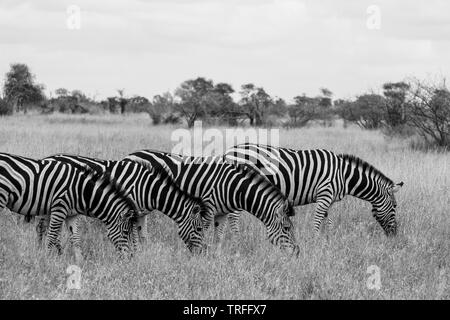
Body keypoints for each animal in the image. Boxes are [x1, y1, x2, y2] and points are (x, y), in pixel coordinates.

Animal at [0, 151, 139, 262]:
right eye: (126, 232)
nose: (130, 258)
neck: (82, 191)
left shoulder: (71, 215)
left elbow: (75, 238)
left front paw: (80, 262)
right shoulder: (59, 208)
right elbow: (52, 236)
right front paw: (47, 259)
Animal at [40, 154, 207, 254]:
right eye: (199, 229)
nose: (202, 253)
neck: (147, 188)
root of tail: (49, 157)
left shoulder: (141, 213)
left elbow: (143, 236)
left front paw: (143, 255)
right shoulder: (130, 211)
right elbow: (133, 236)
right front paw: (135, 254)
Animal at [123, 150, 300, 255]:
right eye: (287, 228)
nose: (297, 252)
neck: (232, 187)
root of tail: (129, 155)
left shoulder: (222, 213)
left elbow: (219, 237)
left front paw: (216, 257)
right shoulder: (207, 209)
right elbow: (204, 233)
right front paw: (204, 255)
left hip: (143, 205)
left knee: (140, 228)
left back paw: (143, 252)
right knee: (132, 228)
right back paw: (136, 253)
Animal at [225, 144, 404, 236]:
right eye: (395, 206)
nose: (395, 234)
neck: (344, 175)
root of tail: (229, 150)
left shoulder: (330, 200)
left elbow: (328, 222)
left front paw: (329, 241)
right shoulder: (324, 194)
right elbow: (317, 220)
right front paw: (315, 241)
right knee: (233, 216)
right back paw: (237, 238)